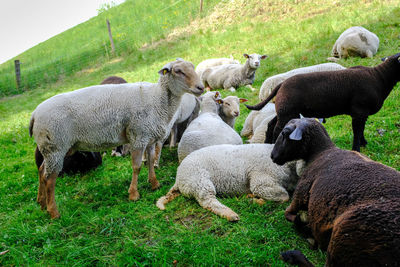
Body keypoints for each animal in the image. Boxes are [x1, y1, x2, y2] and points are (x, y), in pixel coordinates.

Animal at [28, 59, 205, 220]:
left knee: (41, 170)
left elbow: (150, 160)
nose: (201, 88)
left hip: (52, 149)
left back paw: (41, 203)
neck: (157, 99)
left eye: (192, 67)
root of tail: (34, 114)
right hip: (56, 146)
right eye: (178, 71)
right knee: (49, 179)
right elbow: (136, 166)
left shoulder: (149, 138)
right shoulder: (138, 136)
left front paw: (154, 184)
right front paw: (133, 194)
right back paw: (53, 212)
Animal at [155, 144, 304, 222]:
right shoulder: (261, 181)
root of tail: (178, 178)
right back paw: (230, 214)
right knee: (208, 201)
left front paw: (254, 198)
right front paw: (258, 201)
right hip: (199, 179)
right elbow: (284, 197)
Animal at [245, 52, 400, 153]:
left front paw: (364, 144)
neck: (379, 78)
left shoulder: (362, 113)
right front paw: (356, 149)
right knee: (277, 129)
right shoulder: (359, 111)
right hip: (287, 111)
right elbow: (357, 131)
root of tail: (282, 84)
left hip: (285, 109)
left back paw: (266, 145)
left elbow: (361, 130)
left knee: (271, 125)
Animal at [268, 119, 400, 267]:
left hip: (345, 233)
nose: (272, 156)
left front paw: (301, 222)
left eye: (284, 133)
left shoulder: (301, 192)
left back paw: (294, 252)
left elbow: (287, 213)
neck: (321, 152)